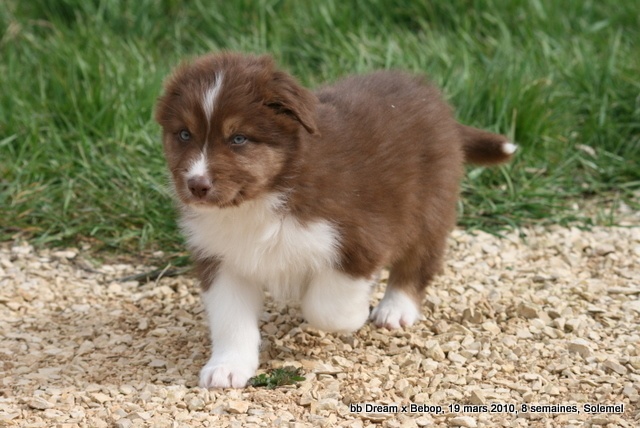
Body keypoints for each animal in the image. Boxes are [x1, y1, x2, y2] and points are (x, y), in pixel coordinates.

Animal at [155, 52, 516, 388]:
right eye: (184, 134)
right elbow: (231, 319)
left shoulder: (359, 238)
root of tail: (435, 101)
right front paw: (227, 368)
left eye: (238, 138)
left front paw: (354, 316)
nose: (196, 185)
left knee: (419, 260)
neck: (264, 197)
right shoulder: (221, 259)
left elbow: (325, 307)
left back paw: (395, 309)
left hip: (429, 205)